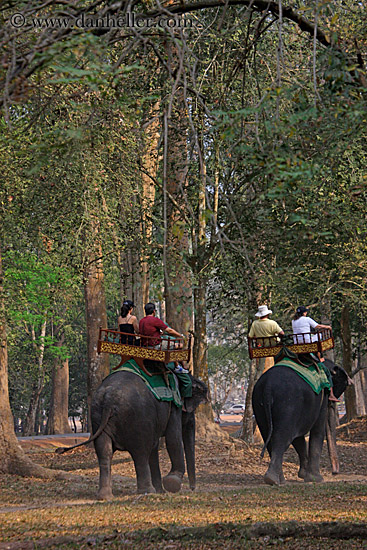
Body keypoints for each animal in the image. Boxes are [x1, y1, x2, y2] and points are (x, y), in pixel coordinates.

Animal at [56, 370, 207, 500]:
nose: (193, 489)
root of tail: (109, 398)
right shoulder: (173, 405)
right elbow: (172, 438)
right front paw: (172, 482)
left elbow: (155, 446)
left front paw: (162, 491)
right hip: (138, 418)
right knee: (141, 452)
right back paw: (147, 491)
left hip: (97, 416)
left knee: (105, 451)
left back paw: (105, 496)